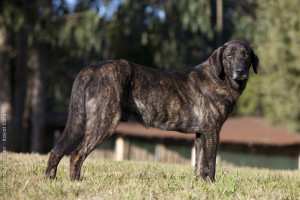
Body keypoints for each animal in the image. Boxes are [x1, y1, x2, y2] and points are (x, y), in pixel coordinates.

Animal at [45, 40, 258, 181]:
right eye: (228, 56)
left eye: (245, 55)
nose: (240, 71)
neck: (220, 77)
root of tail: (90, 69)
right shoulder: (213, 132)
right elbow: (211, 164)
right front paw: (211, 185)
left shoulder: (201, 135)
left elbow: (199, 165)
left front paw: (200, 185)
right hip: (104, 122)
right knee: (76, 154)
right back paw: (75, 182)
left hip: (79, 123)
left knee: (56, 151)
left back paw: (50, 179)